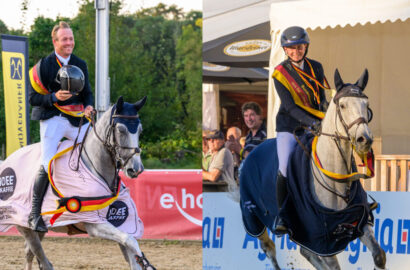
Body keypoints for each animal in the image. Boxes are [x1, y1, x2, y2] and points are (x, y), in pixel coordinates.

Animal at [1, 97, 155, 270]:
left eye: (140, 130)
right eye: (121, 130)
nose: (136, 169)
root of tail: (8, 160)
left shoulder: (122, 223)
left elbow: (131, 252)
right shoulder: (94, 224)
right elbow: (131, 241)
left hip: (37, 231)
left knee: (30, 254)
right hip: (24, 226)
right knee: (39, 257)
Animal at [239, 70, 386, 270]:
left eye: (366, 105)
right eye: (342, 105)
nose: (365, 140)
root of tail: (252, 151)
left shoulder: (360, 221)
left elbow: (379, 256)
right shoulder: (322, 239)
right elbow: (333, 266)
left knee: (305, 252)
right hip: (253, 218)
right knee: (269, 248)